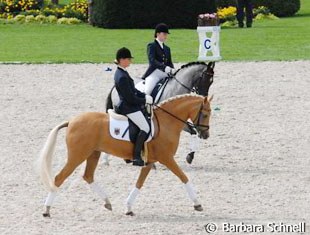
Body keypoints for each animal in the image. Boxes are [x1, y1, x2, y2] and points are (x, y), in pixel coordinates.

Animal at [36, 93, 211, 217]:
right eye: (206, 114)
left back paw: (107, 202)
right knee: (59, 178)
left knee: (88, 176)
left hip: (93, 154)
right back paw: (46, 210)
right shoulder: (167, 159)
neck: (166, 122)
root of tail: (71, 121)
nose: (205, 134)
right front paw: (197, 203)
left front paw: (128, 208)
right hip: (77, 156)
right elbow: (184, 177)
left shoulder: (149, 162)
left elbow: (139, 184)